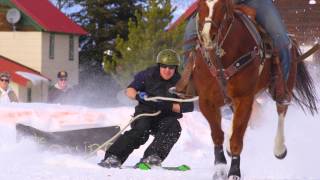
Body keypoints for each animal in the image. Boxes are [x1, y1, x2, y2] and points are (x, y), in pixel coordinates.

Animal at [176, 0, 318, 179]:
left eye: (222, 6)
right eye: (200, 5)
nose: (208, 37)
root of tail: (291, 40)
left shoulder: (244, 98)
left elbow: (237, 139)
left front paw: (234, 172)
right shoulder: (206, 101)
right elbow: (217, 135)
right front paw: (220, 167)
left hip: (285, 83)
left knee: (281, 111)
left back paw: (279, 148)